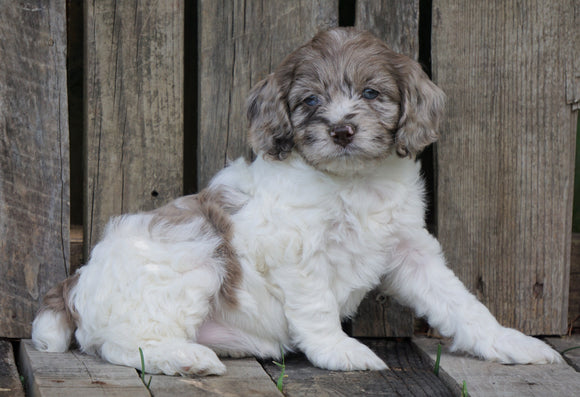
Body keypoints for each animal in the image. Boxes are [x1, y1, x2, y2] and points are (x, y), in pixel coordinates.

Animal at [31, 27, 560, 374]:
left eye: (372, 93)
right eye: (310, 101)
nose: (342, 129)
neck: (351, 182)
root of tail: (74, 283)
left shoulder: (411, 251)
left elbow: (461, 304)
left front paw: (510, 343)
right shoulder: (295, 252)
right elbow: (318, 307)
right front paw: (341, 351)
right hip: (197, 248)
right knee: (121, 345)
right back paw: (187, 357)